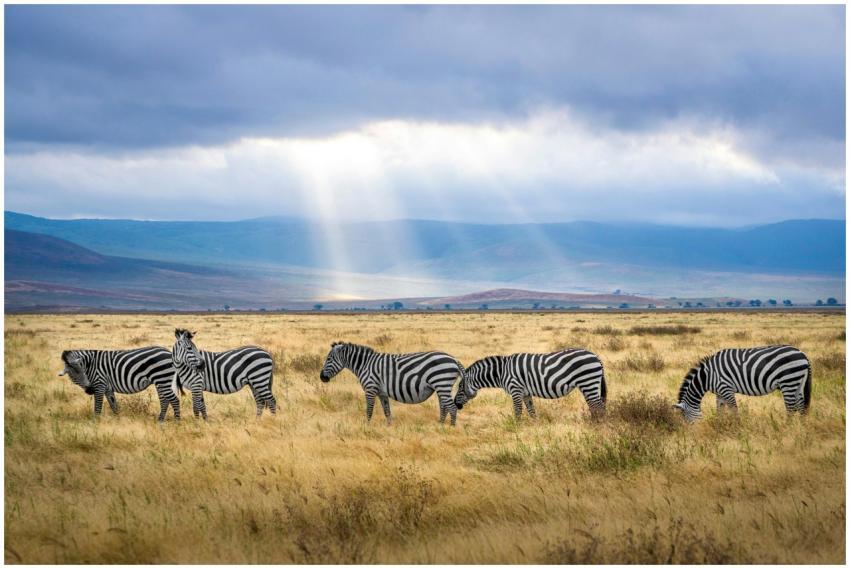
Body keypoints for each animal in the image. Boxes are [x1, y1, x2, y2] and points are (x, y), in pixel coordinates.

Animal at [319, 342, 465, 425]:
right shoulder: (382, 393)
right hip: (441, 387)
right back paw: (440, 425)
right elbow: (387, 411)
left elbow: (369, 410)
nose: (322, 378)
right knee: (444, 407)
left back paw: (450, 428)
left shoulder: (370, 389)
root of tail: (454, 359)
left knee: (452, 408)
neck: (365, 365)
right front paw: (389, 427)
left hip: (442, 383)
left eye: (329, 359)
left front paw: (366, 427)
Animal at [454, 348, 607, 419]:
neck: (502, 372)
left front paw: (516, 429)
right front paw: (534, 427)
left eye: (460, 387)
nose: (456, 404)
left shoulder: (515, 389)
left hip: (588, 382)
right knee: (595, 406)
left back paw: (597, 426)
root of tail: (596, 356)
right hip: (589, 384)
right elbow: (531, 411)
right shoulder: (525, 393)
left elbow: (518, 411)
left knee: (598, 406)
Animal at [673, 345, 812, 422]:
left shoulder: (726, 388)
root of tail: (803, 354)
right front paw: (719, 426)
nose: (691, 433)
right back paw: (802, 430)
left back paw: (786, 429)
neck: (707, 376)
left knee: (791, 409)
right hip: (798, 383)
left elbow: (734, 410)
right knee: (801, 407)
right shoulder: (719, 393)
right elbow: (720, 411)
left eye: (685, 417)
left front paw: (737, 428)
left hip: (788, 381)